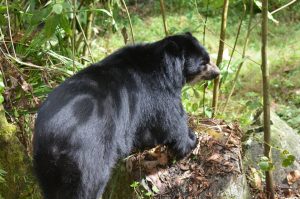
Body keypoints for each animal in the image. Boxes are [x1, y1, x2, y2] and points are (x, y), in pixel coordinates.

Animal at [32, 33, 220, 199]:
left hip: (45, 165)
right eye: (204, 63)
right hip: (89, 154)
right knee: (90, 183)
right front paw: (192, 140)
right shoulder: (158, 94)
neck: (164, 65)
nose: (218, 72)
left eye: (208, 59)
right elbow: (171, 122)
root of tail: (56, 138)